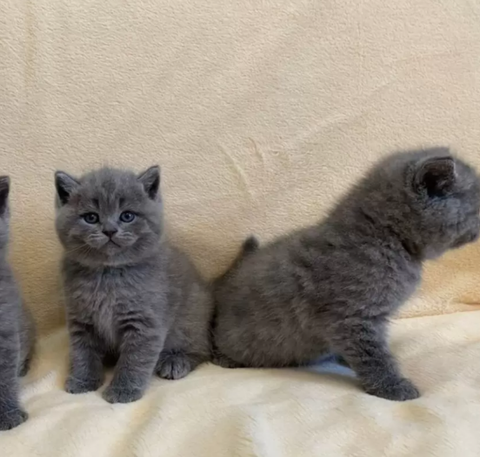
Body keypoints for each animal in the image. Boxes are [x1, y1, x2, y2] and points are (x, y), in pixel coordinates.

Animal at [54, 164, 212, 402]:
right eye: (91, 217)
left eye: (127, 216)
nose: (109, 230)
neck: (108, 274)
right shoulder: (81, 320)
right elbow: (83, 352)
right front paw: (83, 380)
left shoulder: (145, 323)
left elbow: (135, 360)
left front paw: (123, 390)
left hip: (191, 317)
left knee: (202, 349)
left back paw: (176, 361)